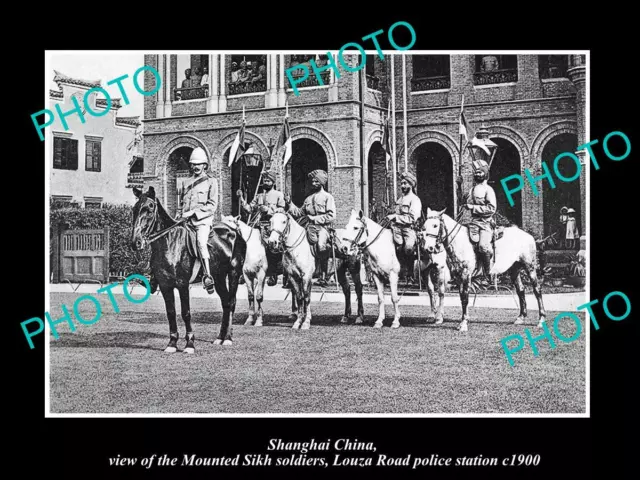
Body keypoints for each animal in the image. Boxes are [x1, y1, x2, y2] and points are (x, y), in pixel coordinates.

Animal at [131, 186, 246, 350]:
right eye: (135, 209)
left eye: (150, 208)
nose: (136, 243)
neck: (170, 243)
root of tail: (235, 231)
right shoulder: (165, 285)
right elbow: (171, 312)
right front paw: (172, 343)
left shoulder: (182, 284)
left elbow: (186, 312)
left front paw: (190, 343)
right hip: (218, 277)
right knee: (225, 303)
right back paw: (220, 337)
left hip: (233, 274)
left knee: (231, 302)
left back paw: (228, 338)